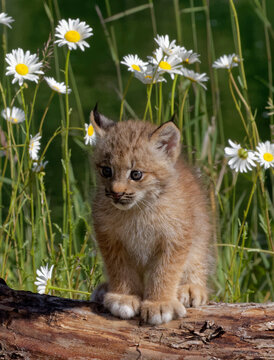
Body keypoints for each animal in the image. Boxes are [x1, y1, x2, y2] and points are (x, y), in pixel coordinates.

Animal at [90, 106, 212, 326]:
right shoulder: (110, 236)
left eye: (136, 174)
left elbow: (165, 271)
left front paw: (160, 303)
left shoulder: (175, 237)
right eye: (106, 171)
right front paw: (124, 297)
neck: (138, 209)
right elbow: (119, 267)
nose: (116, 193)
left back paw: (191, 289)